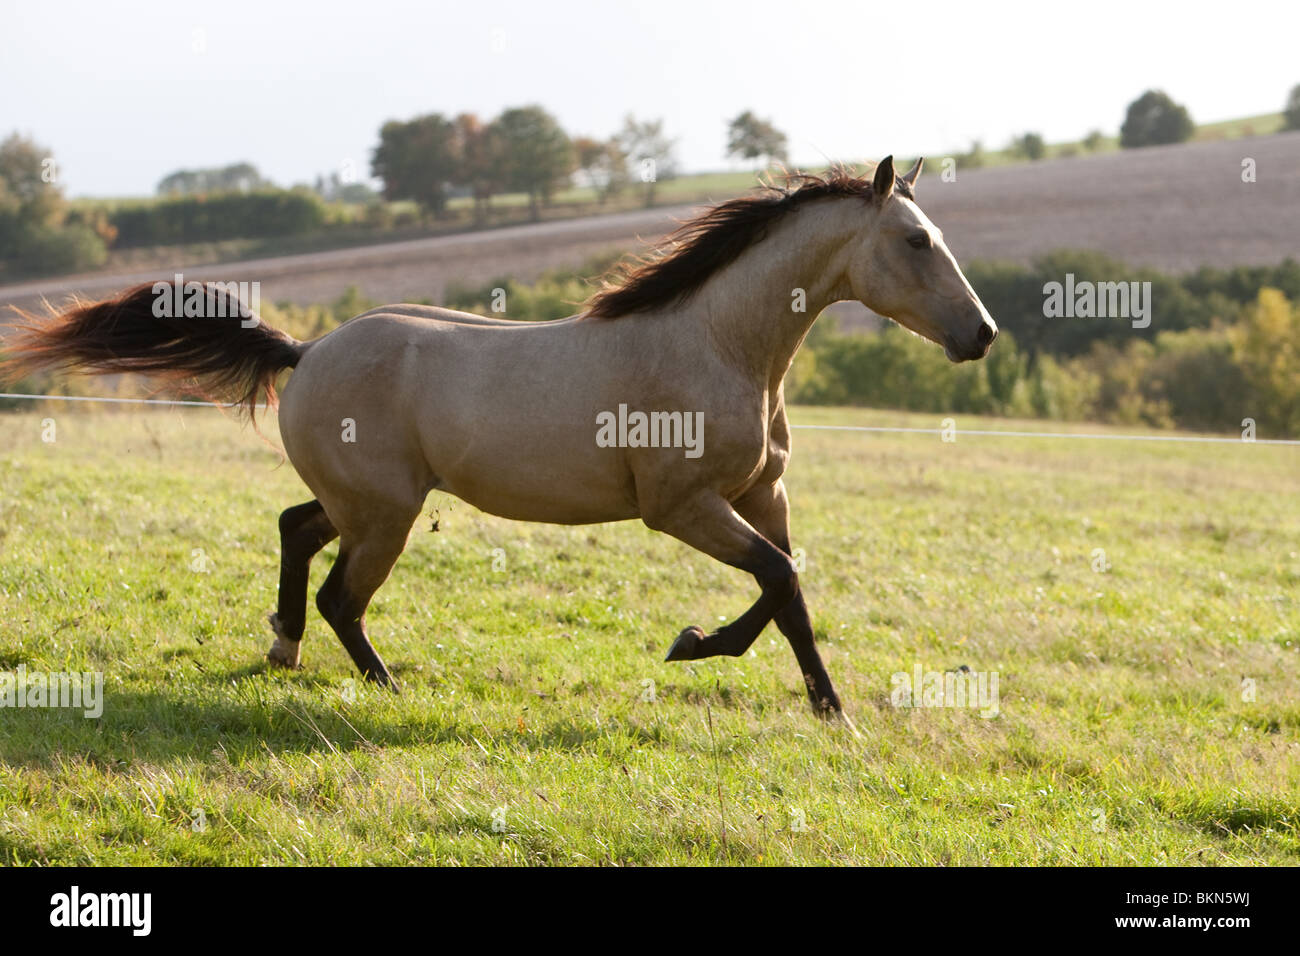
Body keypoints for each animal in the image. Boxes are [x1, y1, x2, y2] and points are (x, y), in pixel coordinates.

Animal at [0, 157, 993, 712]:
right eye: (914, 240)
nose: (980, 335)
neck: (716, 343)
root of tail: (308, 349)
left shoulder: (761, 493)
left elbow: (788, 590)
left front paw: (825, 706)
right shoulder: (681, 506)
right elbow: (779, 581)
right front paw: (695, 646)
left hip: (368, 501)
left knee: (295, 532)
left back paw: (283, 645)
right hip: (386, 514)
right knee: (341, 597)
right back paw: (386, 687)